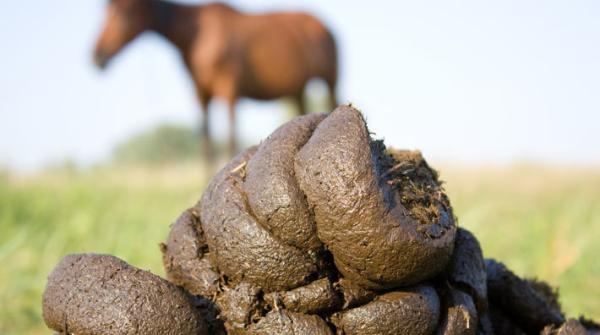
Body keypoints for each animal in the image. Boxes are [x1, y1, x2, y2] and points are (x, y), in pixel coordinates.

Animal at [94, 0, 338, 160]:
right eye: (105, 11)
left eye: (124, 11)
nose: (97, 55)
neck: (197, 35)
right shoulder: (201, 94)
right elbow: (206, 142)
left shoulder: (229, 89)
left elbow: (230, 137)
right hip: (297, 90)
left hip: (330, 80)